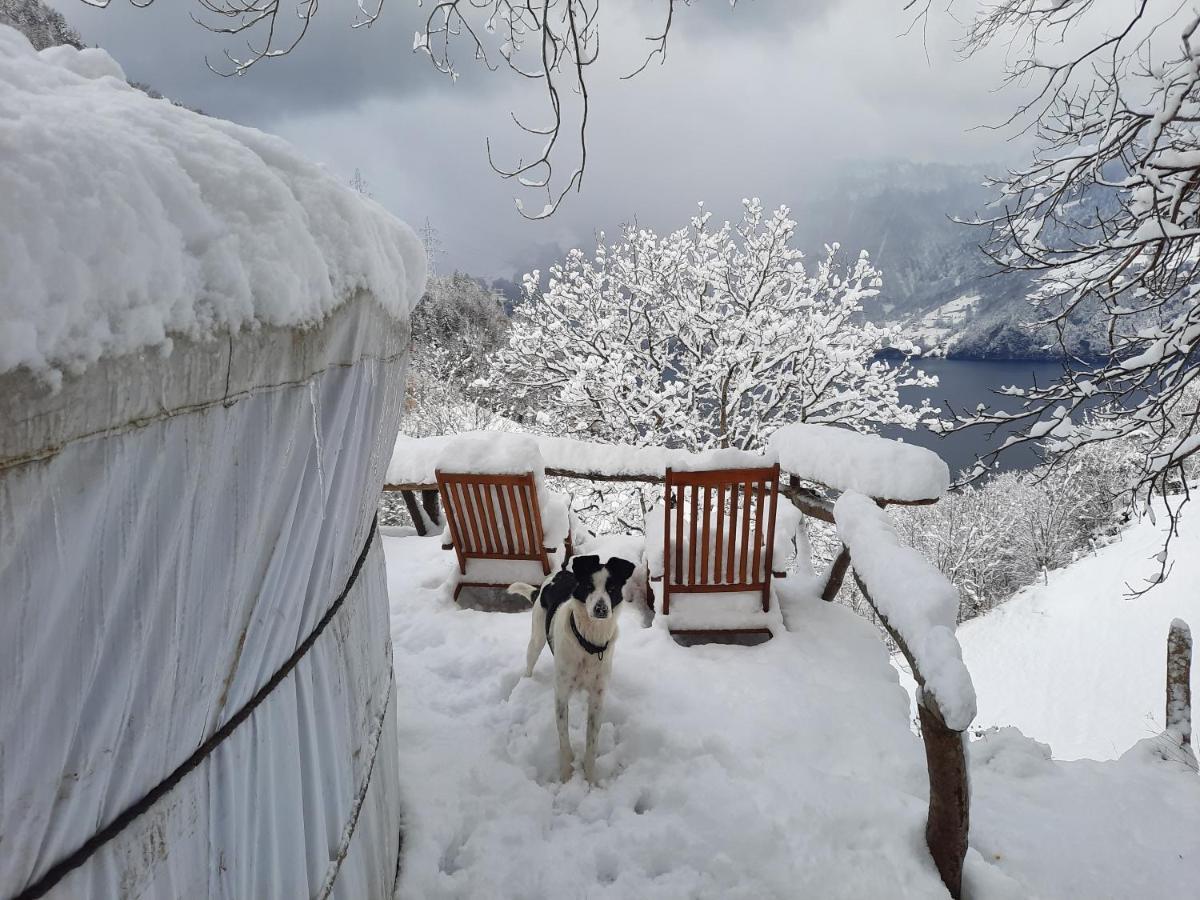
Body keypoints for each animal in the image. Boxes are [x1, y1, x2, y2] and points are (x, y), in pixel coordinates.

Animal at [508, 554, 638, 787]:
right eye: (588, 586)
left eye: (612, 588)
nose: (601, 609)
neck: (589, 643)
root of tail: (557, 574)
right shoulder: (561, 695)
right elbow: (564, 740)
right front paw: (567, 775)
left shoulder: (597, 697)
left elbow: (592, 744)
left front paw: (590, 780)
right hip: (537, 638)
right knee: (530, 662)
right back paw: (526, 682)